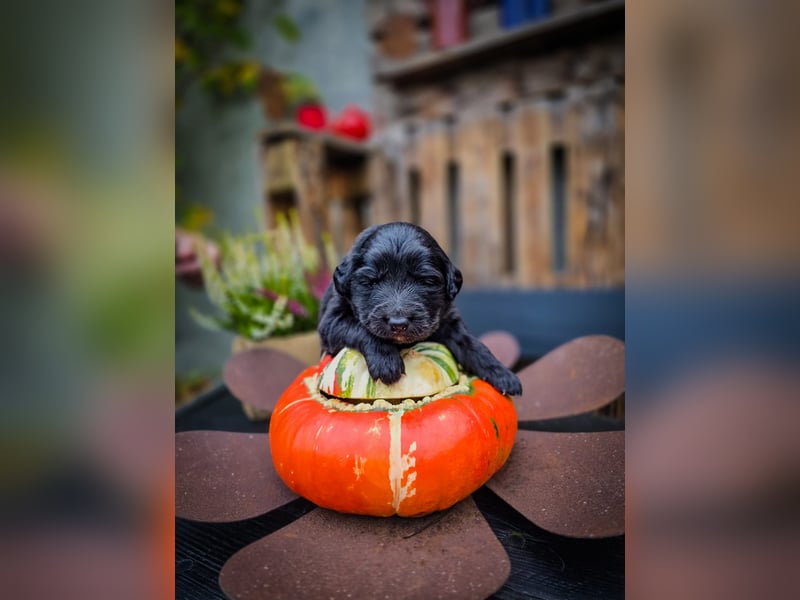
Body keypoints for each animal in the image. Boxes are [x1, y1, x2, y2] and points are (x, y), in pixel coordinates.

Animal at [318, 223, 524, 396]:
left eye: (425, 281)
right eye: (371, 282)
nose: (398, 324)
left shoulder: (448, 320)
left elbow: (471, 344)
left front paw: (502, 374)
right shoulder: (331, 323)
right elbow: (361, 329)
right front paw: (387, 362)